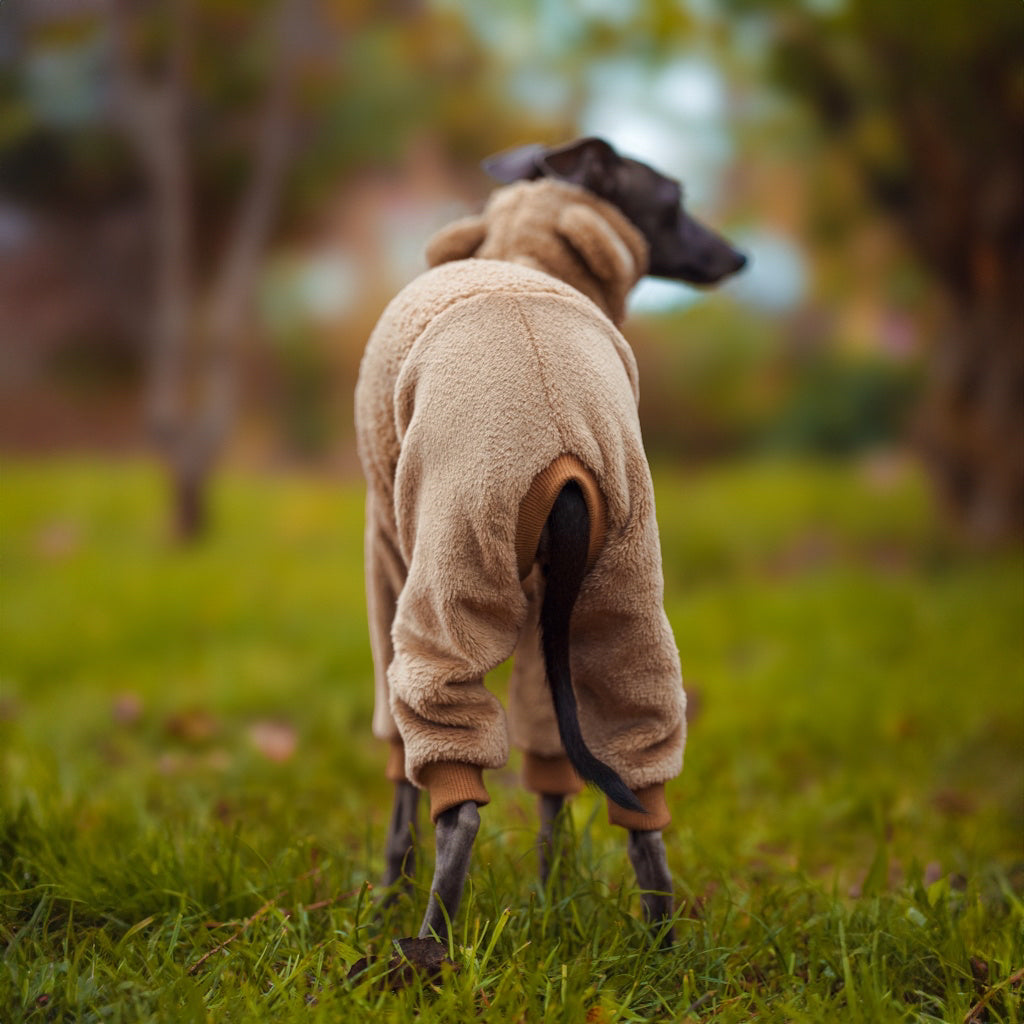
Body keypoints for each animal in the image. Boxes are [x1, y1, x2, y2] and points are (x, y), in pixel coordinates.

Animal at [356, 138, 749, 950]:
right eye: (674, 201)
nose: (738, 256)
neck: (525, 253)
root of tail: (557, 422)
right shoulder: (549, 604)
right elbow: (551, 781)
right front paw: (552, 892)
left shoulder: (385, 548)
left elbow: (401, 784)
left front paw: (383, 899)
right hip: (617, 587)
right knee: (639, 798)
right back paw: (662, 948)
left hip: (446, 568)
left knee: (457, 806)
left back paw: (424, 947)